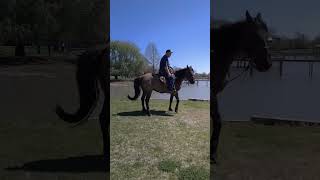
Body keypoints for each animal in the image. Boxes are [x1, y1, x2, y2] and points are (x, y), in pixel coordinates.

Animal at [210, 10, 272, 164]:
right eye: (254, 35)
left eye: (267, 35)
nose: (267, 63)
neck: (216, 53)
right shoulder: (212, 93)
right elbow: (218, 121)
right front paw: (212, 153)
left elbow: (218, 122)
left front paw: (213, 154)